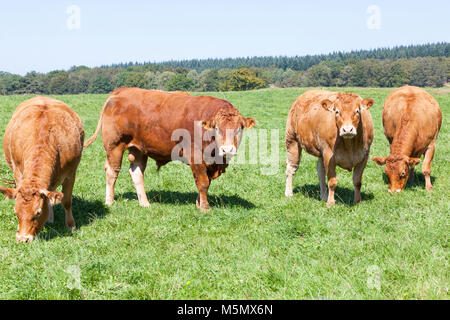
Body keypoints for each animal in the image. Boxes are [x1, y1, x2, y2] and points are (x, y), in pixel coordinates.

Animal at [0, 96, 84, 241]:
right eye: (16, 212)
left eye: (38, 213)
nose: (23, 239)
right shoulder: (18, 171)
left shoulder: (70, 173)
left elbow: (66, 201)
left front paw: (71, 225)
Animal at [82, 88, 255, 212]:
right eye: (217, 129)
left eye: (238, 129)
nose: (227, 149)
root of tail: (121, 91)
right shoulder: (196, 156)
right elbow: (203, 183)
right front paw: (205, 208)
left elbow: (206, 182)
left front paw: (199, 203)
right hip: (114, 146)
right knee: (112, 172)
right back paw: (110, 201)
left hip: (139, 149)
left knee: (136, 173)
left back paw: (144, 203)